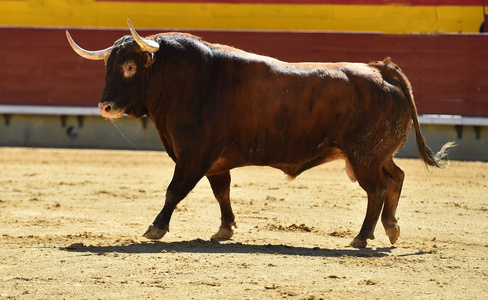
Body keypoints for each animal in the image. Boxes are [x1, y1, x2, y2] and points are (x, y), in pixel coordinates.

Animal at [66, 19, 454, 248]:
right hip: (376, 154)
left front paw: (155, 228)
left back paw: (361, 238)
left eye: (131, 66)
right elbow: (221, 192)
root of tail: (381, 69)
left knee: (376, 189)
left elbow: (175, 190)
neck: (183, 80)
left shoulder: (194, 154)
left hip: (363, 156)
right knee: (396, 178)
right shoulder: (215, 161)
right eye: (108, 67)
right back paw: (391, 228)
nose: (105, 106)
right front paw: (224, 230)